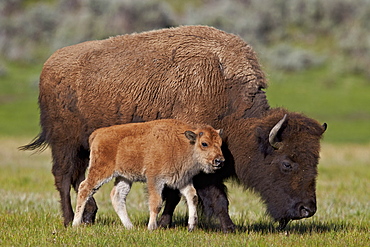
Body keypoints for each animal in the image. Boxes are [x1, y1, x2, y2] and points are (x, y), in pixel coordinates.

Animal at [71, 118, 223, 231]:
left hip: (124, 177)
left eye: (220, 143)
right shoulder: (155, 180)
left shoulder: (182, 180)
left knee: (117, 196)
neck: (181, 143)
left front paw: (191, 226)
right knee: (85, 188)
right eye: (204, 143)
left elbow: (193, 197)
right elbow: (156, 202)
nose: (219, 160)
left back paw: (130, 226)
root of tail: (98, 133)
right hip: (101, 171)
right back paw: (75, 223)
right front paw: (151, 227)